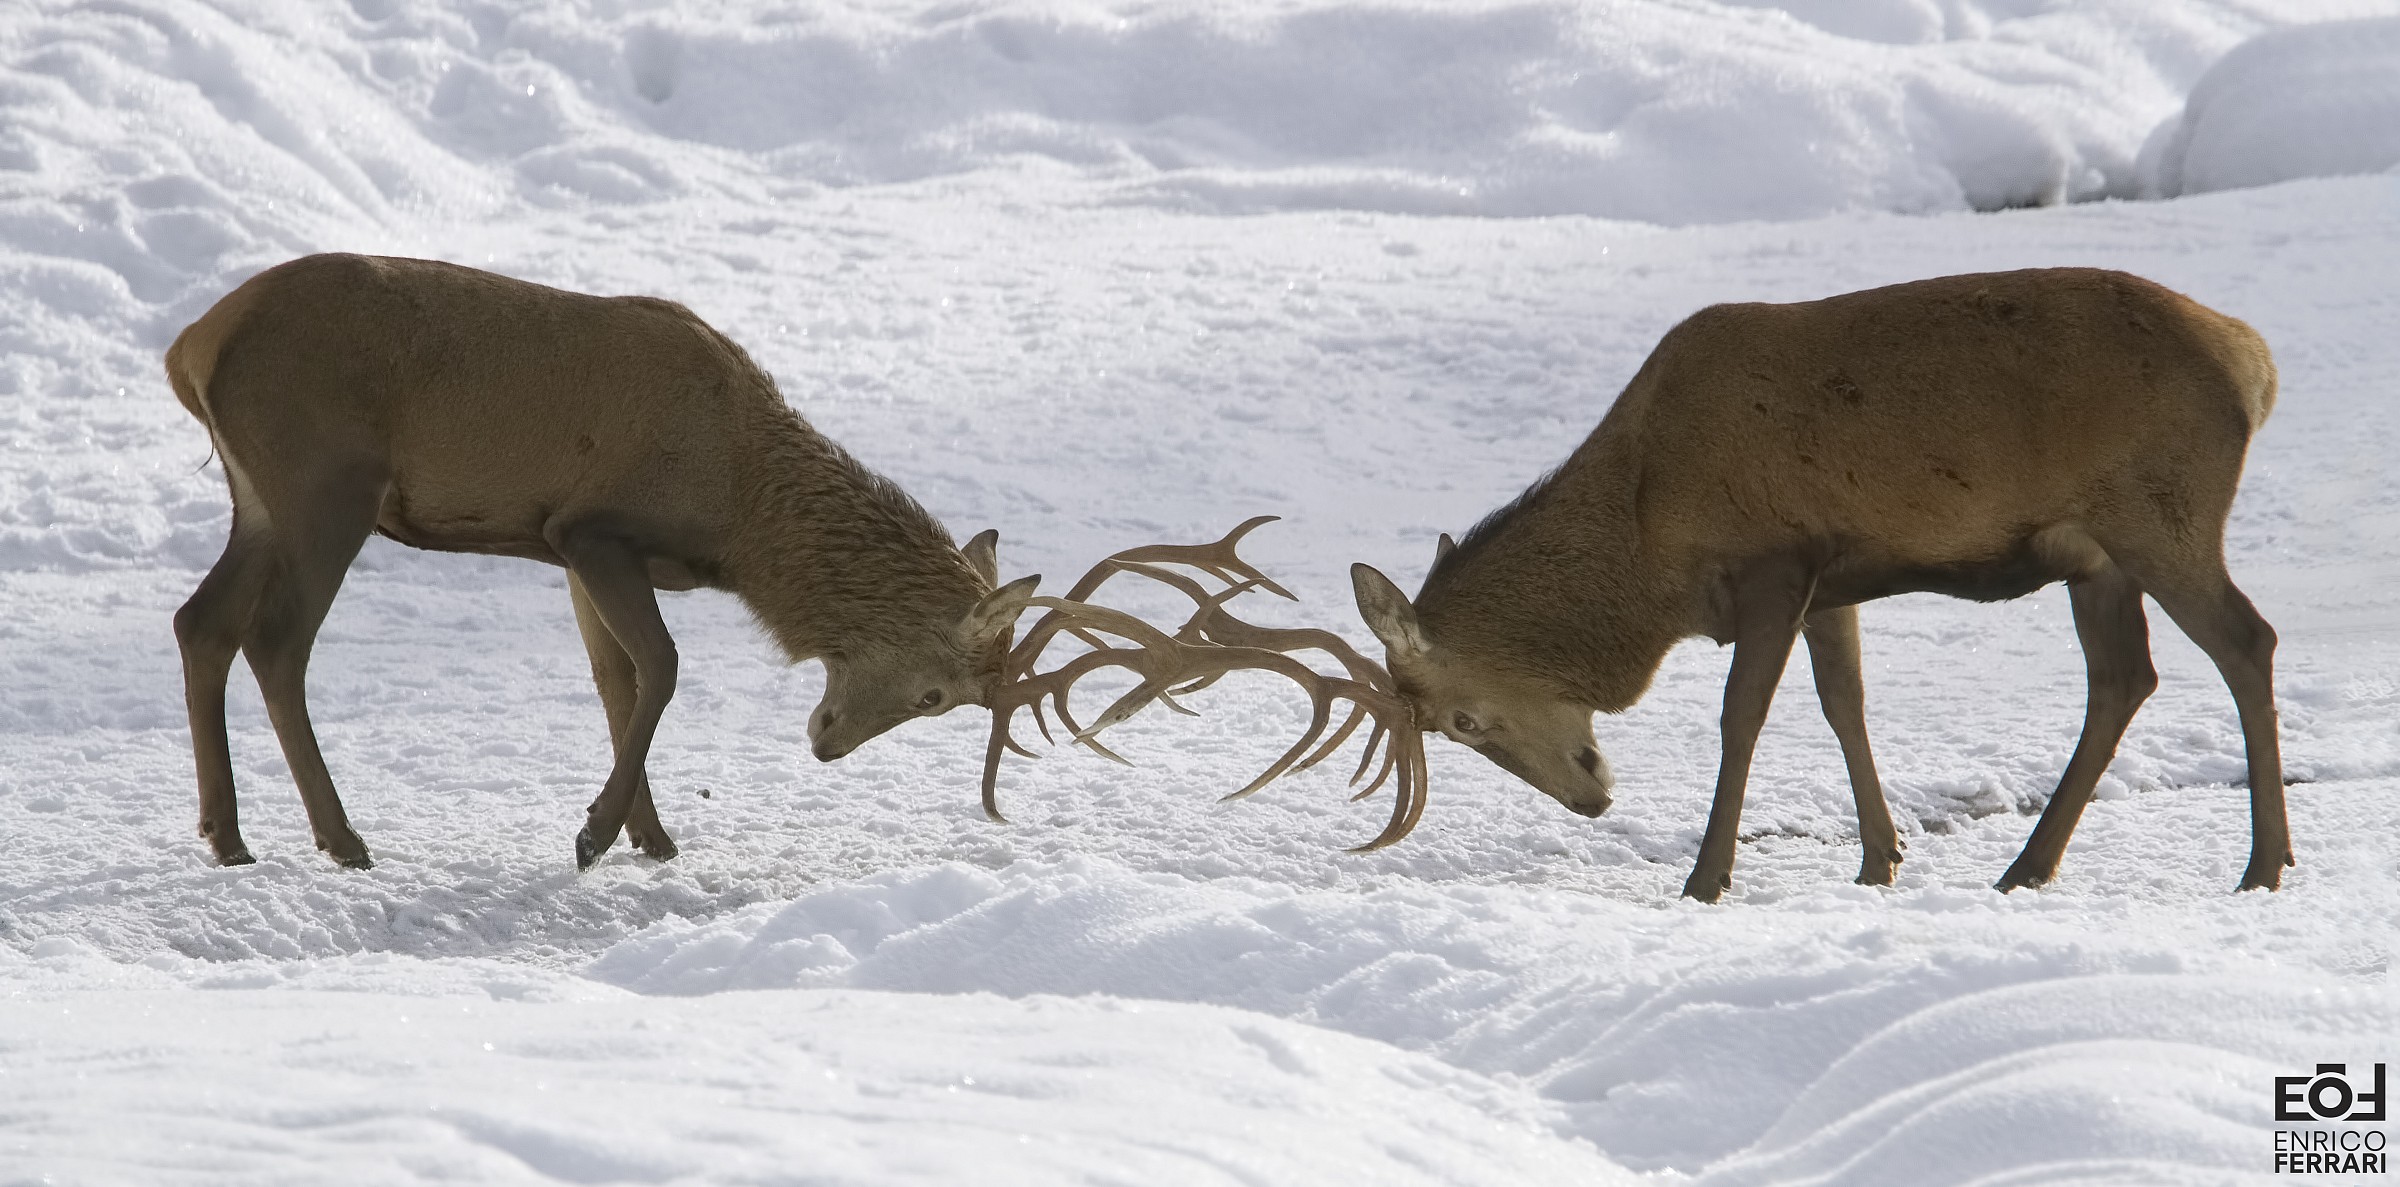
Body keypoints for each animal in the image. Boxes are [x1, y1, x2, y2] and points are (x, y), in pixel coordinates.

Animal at [166, 253, 1041, 871]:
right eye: (935, 694)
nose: (826, 743)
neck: (742, 514)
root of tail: (190, 350)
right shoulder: (595, 529)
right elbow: (662, 664)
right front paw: (595, 833)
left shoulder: (567, 545)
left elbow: (614, 678)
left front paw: (648, 834)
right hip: (327, 485)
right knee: (276, 640)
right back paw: (341, 837)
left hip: (262, 502)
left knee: (200, 620)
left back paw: (226, 833)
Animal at [1346, 267, 2289, 902]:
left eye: (1463, 720)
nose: (1591, 798)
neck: (1649, 541)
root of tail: (2257, 362)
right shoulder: (1833, 583)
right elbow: (1845, 703)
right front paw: (1880, 859)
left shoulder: (1774, 563)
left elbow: (1742, 719)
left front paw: (1706, 878)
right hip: (2097, 557)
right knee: (2124, 676)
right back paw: (2027, 865)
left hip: (2161, 517)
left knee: (2247, 640)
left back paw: (2263, 862)